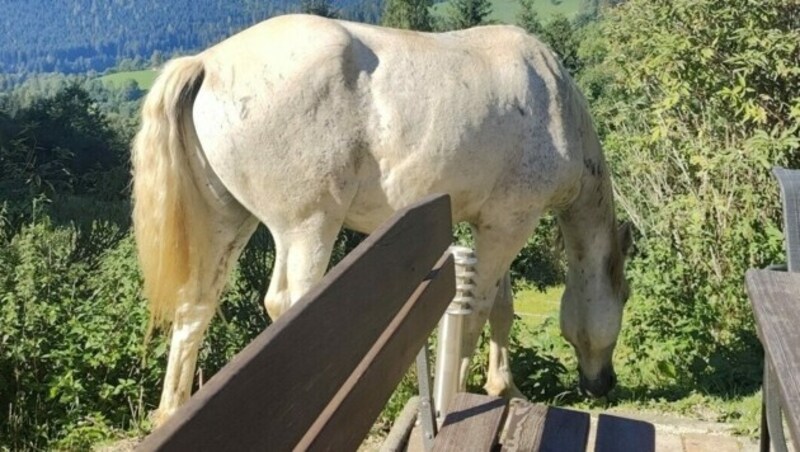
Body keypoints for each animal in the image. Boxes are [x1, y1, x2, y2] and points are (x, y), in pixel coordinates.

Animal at [131, 14, 632, 424]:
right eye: (623, 296)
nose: (602, 383)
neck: (555, 103)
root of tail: (205, 63)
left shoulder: (491, 223)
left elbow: (502, 309)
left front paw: (505, 387)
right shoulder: (509, 224)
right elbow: (478, 310)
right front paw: (468, 390)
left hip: (227, 224)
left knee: (194, 307)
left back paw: (171, 411)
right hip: (308, 226)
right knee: (288, 301)